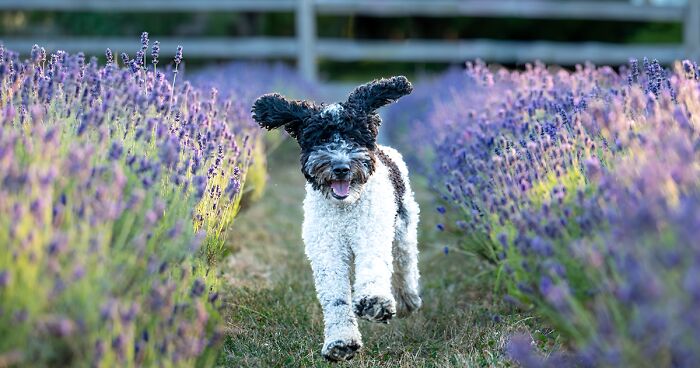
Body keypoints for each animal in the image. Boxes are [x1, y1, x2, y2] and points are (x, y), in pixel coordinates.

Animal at [252, 76, 422, 360]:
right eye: (320, 137)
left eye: (353, 136)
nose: (340, 167)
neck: (345, 211)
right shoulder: (327, 252)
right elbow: (335, 298)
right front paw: (341, 342)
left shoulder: (371, 234)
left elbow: (373, 268)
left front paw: (374, 303)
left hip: (403, 229)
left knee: (405, 264)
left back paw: (408, 299)